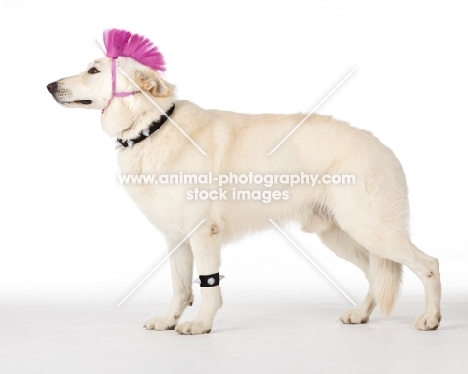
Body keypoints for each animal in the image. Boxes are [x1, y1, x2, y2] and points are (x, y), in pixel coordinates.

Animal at [45, 29, 440, 334]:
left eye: (93, 70)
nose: (48, 85)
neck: (154, 126)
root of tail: (382, 146)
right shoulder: (176, 237)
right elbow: (179, 286)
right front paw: (170, 321)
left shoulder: (204, 235)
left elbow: (208, 286)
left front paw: (200, 325)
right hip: (339, 235)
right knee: (376, 272)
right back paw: (361, 314)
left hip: (370, 229)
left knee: (428, 264)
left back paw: (430, 319)